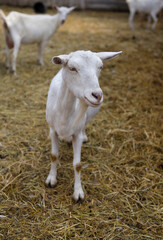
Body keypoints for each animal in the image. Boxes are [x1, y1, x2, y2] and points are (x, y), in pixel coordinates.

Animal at [45, 49, 121, 201]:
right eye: (72, 68)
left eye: (100, 67)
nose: (97, 95)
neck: (64, 114)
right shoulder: (53, 130)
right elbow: (54, 155)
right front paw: (51, 179)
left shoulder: (77, 134)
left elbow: (78, 164)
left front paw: (78, 192)